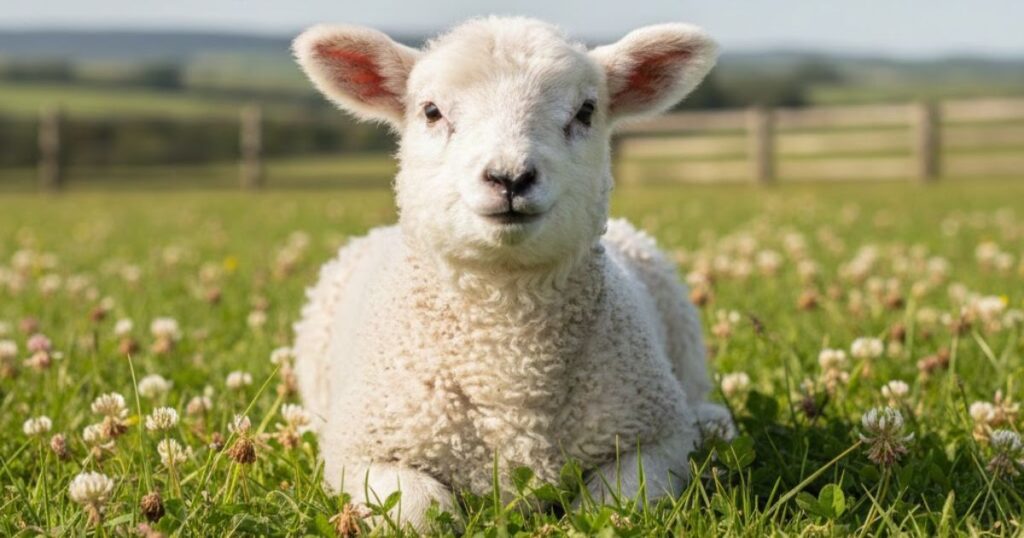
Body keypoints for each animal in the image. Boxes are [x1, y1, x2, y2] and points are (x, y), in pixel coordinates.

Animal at [291, 16, 733, 530]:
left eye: (585, 111)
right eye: (431, 111)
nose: (510, 178)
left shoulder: (657, 438)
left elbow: (615, 507)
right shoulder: (362, 450)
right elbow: (421, 515)